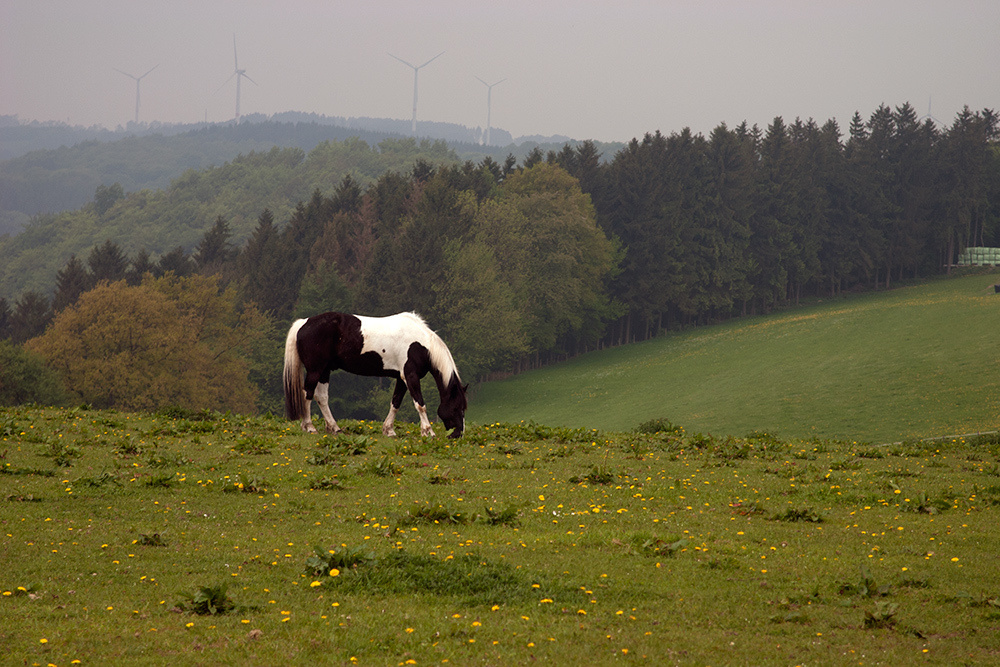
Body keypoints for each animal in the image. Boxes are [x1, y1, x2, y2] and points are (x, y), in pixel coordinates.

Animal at [283, 311, 467, 438]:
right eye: (457, 407)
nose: (458, 434)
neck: (421, 344)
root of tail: (304, 323)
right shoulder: (410, 376)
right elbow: (420, 404)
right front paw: (428, 432)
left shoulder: (401, 379)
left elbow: (395, 403)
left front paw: (389, 430)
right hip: (315, 370)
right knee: (307, 394)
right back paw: (309, 426)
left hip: (325, 371)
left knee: (321, 397)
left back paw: (335, 428)